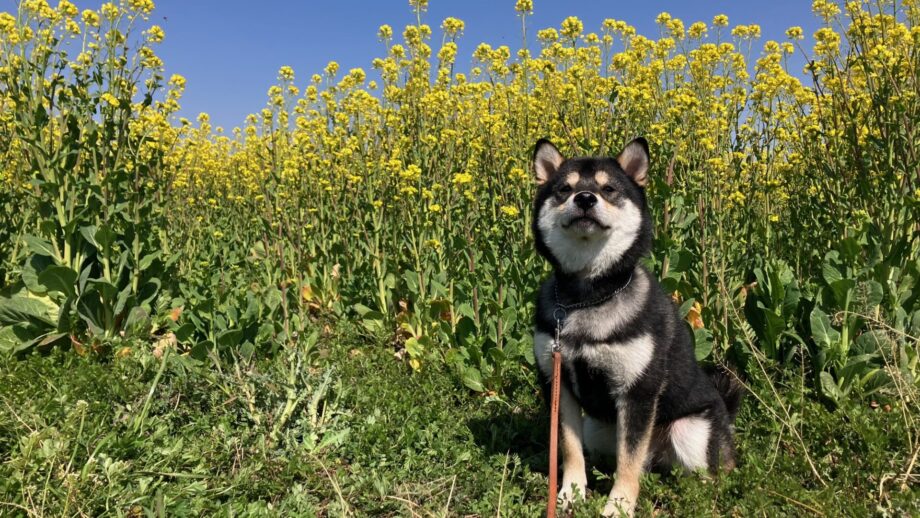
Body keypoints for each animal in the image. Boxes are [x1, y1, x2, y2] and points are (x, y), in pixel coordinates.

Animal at [532, 139, 740, 518]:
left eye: (609, 189)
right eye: (564, 189)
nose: (585, 198)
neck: (587, 297)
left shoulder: (638, 391)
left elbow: (629, 462)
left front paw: (618, 506)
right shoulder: (558, 384)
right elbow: (569, 448)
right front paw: (570, 494)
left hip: (690, 431)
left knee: (710, 472)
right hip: (598, 428)